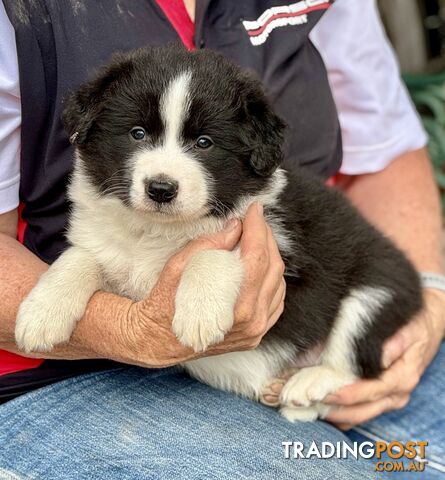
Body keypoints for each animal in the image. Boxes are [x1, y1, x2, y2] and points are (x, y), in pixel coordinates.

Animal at [15, 44, 422, 420]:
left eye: (204, 143)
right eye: (137, 133)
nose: (161, 189)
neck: (157, 231)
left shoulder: (272, 240)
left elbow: (210, 248)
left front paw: (200, 313)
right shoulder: (104, 243)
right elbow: (79, 258)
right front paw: (40, 314)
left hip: (376, 288)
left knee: (355, 362)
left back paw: (307, 383)